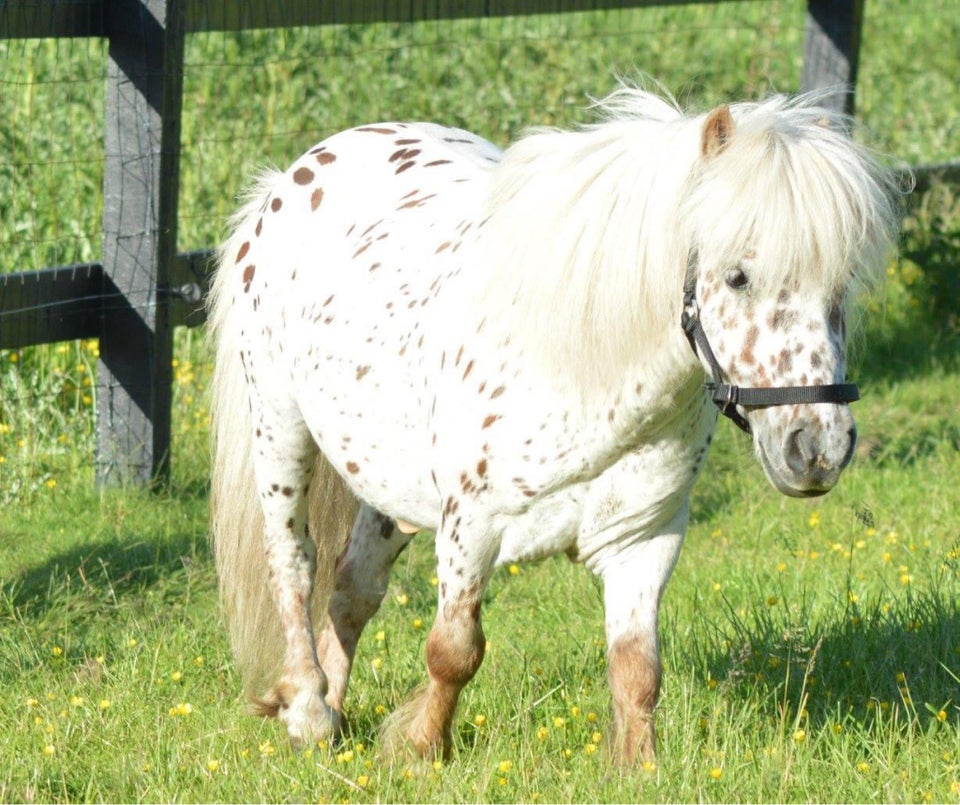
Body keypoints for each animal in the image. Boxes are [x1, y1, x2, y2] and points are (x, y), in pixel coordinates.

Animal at [208, 85, 900, 764]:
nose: (818, 449)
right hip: (279, 427)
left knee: (354, 586)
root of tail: (293, 175)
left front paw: (639, 772)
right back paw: (308, 712)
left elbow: (637, 669)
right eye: (737, 276)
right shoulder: (470, 526)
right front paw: (420, 749)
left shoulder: (643, 537)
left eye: (841, 284)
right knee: (294, 563)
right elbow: (454, 651)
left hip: (387, 480)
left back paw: (331, 708)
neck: (584, 366)